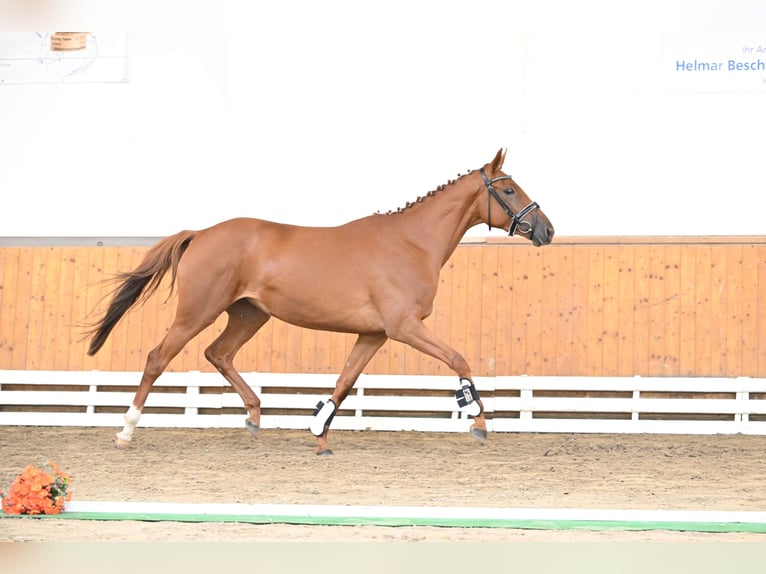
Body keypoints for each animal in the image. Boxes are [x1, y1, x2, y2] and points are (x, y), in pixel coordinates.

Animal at [85, 151, 552, 456]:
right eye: (510, 189)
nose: (546, 230)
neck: (411, 243)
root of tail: (200, 233)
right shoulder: (404, 327)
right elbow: (458, 360)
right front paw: (477, 419)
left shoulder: (374, 334)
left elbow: (344, 383)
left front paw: (320, 434)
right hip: (197, 311)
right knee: (157, 358)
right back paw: (126, 431)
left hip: (248, 314)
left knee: (218, 353)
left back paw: (254, 416)